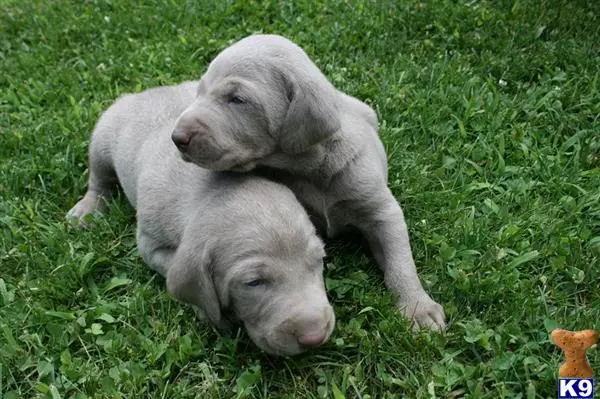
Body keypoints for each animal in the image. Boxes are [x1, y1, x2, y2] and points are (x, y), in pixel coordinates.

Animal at [69, 83, 338, 358]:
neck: (215, 190)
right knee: (99, 178)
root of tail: (150, 90)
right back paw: (87, 210)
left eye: (319, 260)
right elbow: (173, 270)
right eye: (253, 283)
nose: (315, 336)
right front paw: (212, 313)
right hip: (102, 139)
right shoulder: (150, 244)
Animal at [170, 33, 446, 332]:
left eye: (237, 99)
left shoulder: (382, 211)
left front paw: (418, 307)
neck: (312, 168)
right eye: (200, 92)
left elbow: (400, 261)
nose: (177, 138)